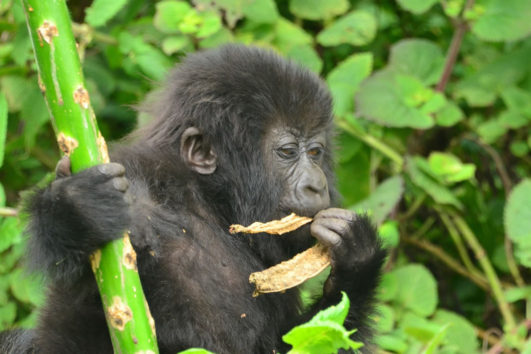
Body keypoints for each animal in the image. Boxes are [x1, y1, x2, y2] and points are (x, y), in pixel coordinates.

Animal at [22, 45, 386, 352]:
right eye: (287, 152)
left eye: (315, 152)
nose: (317, 186)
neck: (209, 207)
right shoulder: (136, 180)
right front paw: (78, 208)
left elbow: (297, 340)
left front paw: (357, 258)